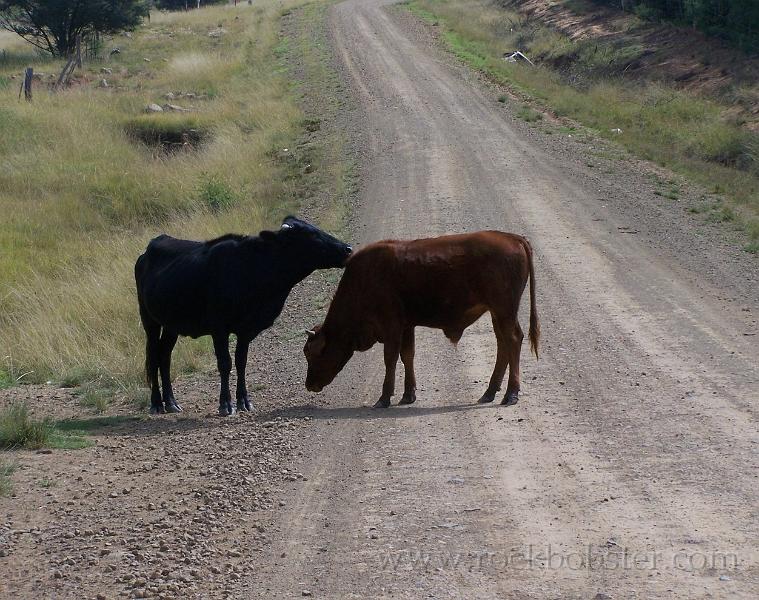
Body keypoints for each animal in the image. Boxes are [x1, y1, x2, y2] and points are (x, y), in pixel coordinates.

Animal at [135, 216, 352, 418]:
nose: (348, 248)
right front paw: (225, 404)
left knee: (164, 356)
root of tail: (152, 246)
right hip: (149, 320)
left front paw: (244, 401)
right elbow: (225, 363)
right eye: (310, 235)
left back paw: (171, 402)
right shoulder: (219, 328)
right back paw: (156, 403)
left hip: (171, 325)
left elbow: (241, 362)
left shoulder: (246, 329)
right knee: (153, 355)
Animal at [302, 231, 540, 408]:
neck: (365, 279)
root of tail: (512, 237)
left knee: (513, 340)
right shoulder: (407, 326)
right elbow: (408, 356)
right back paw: (490, 392)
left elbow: (390, 359)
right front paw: (408, 394)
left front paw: (384, 398)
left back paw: (511, 394)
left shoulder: (392, 327)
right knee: (503, 344)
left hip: (504, 311)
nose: (309, 384)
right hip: (497, 313)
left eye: (313, 353)